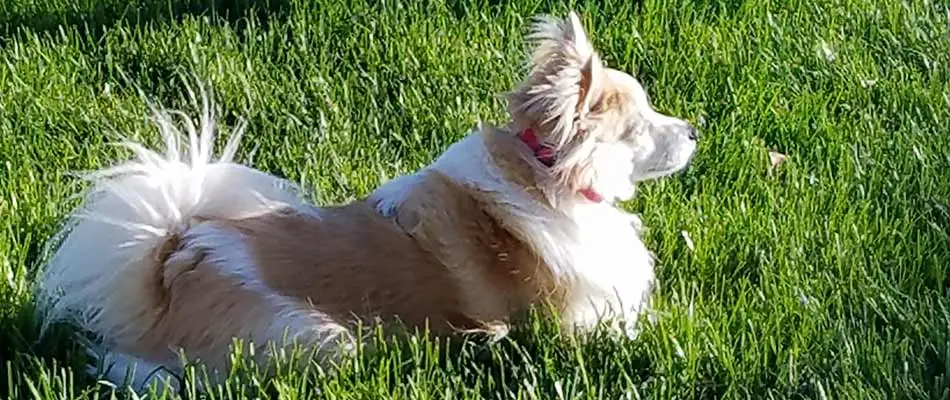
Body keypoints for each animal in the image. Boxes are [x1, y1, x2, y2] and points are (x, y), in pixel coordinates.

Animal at [35, 11, 700, 390]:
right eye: (642, 123)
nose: (694, 131)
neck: (545, 172)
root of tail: (172, 264)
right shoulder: (579, 328)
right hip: (320, 341)